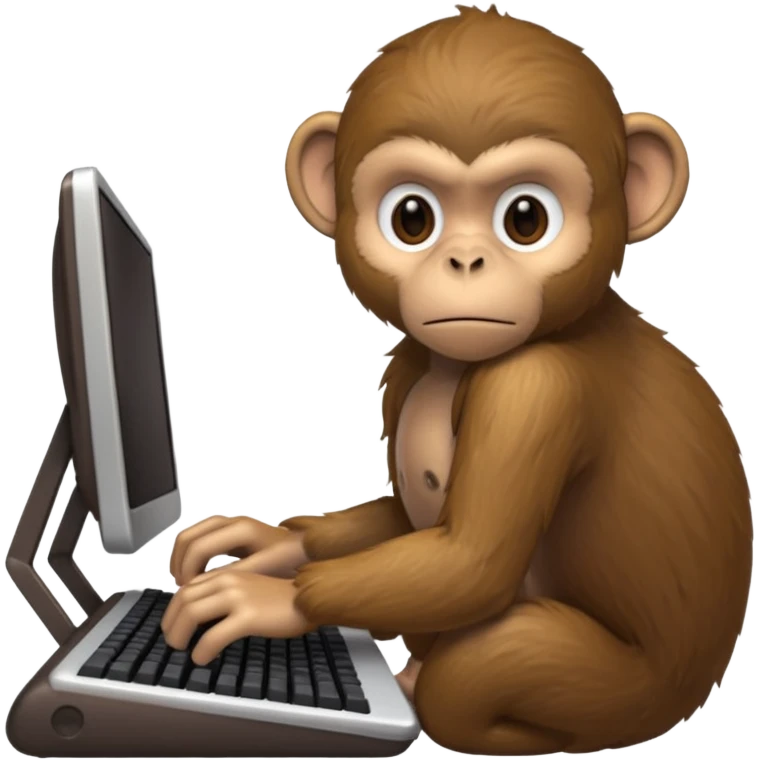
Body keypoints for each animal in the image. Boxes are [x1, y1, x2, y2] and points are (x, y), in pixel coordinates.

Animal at [162, 6, 753, 755]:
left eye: (526, 219)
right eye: (412, 217)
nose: (466, 260)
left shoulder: (536, 391)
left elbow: (471, 561)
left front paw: (269, 599)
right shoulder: (414, 362)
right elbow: (402, 520)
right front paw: (270, 547)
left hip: (624, 694)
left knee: (478, 670)